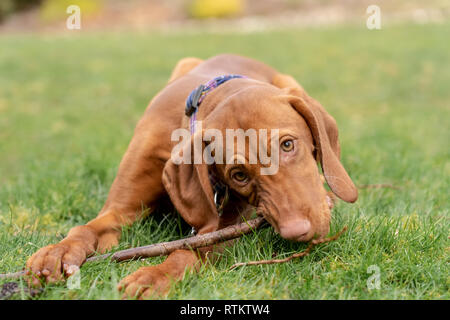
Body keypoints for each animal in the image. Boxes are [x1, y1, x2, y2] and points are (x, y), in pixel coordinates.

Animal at [24, 54, 356, 298]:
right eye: (238, 175)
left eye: (287, 145)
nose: (297, 232)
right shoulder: (118, 211)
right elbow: (86, 228)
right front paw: (57, 251)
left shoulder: (230, 229)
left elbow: (187, 250)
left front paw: (156, 274)